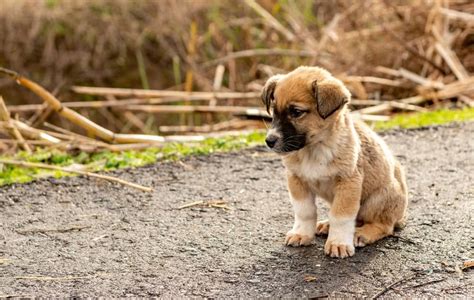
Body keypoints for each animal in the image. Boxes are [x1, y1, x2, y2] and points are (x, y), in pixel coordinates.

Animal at [262, 65, 408, 258]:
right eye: (274, 112)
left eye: (296, 112)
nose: (269, 141)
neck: (314, 149)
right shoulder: (296, 180)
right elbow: (305, 211)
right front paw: (302, 234)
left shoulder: (348, 183)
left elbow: (341, 215)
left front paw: (338, 243)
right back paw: (327, 225)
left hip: (378, 199)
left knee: (384, 226)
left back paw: (362, 233)